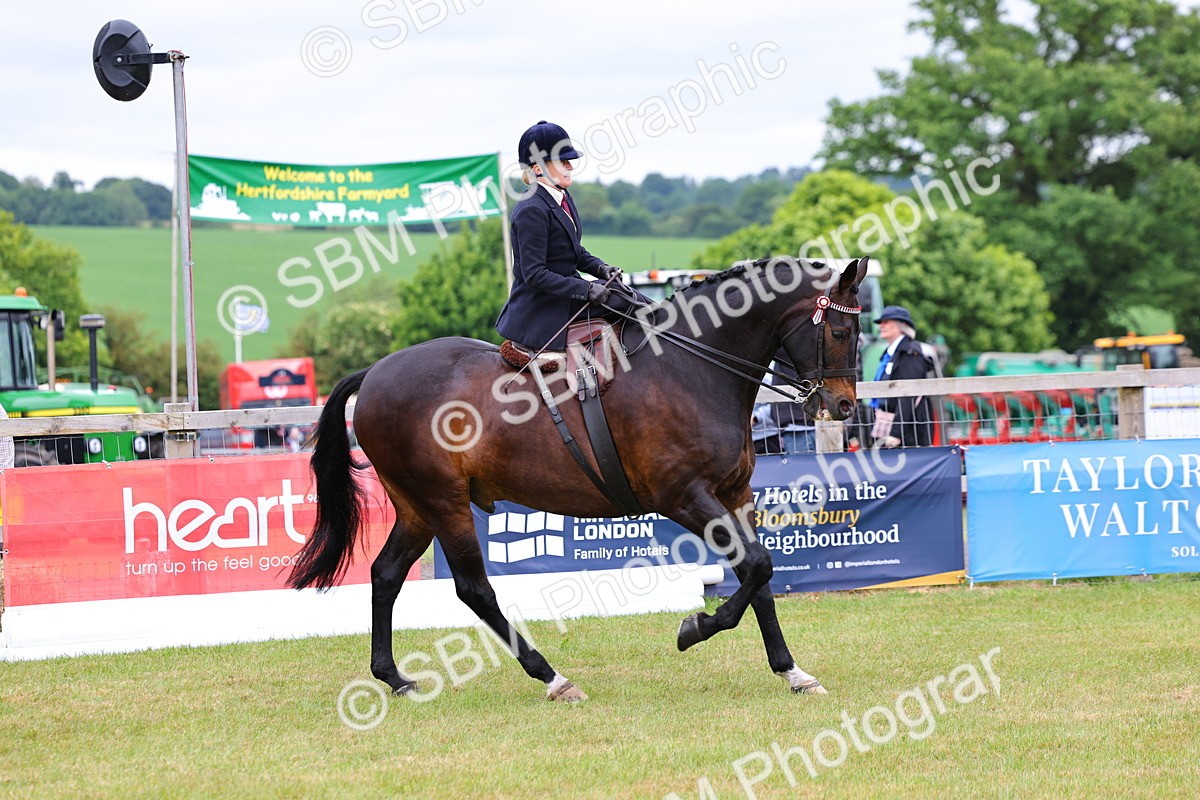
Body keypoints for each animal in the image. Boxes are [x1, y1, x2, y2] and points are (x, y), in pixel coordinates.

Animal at [288, 256, 869, 701]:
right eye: (840, 331)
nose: (843, 406)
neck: (693, 369)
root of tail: (375, 372)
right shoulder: (684, 496)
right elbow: (755, 568)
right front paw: (693, 628)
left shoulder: (735, 494)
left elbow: (762, 578)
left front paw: (793, 672)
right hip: (444, 503)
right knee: (474, 589)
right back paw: (553, 678)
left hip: (416, 507)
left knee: (386, 574)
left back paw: (395, 678)